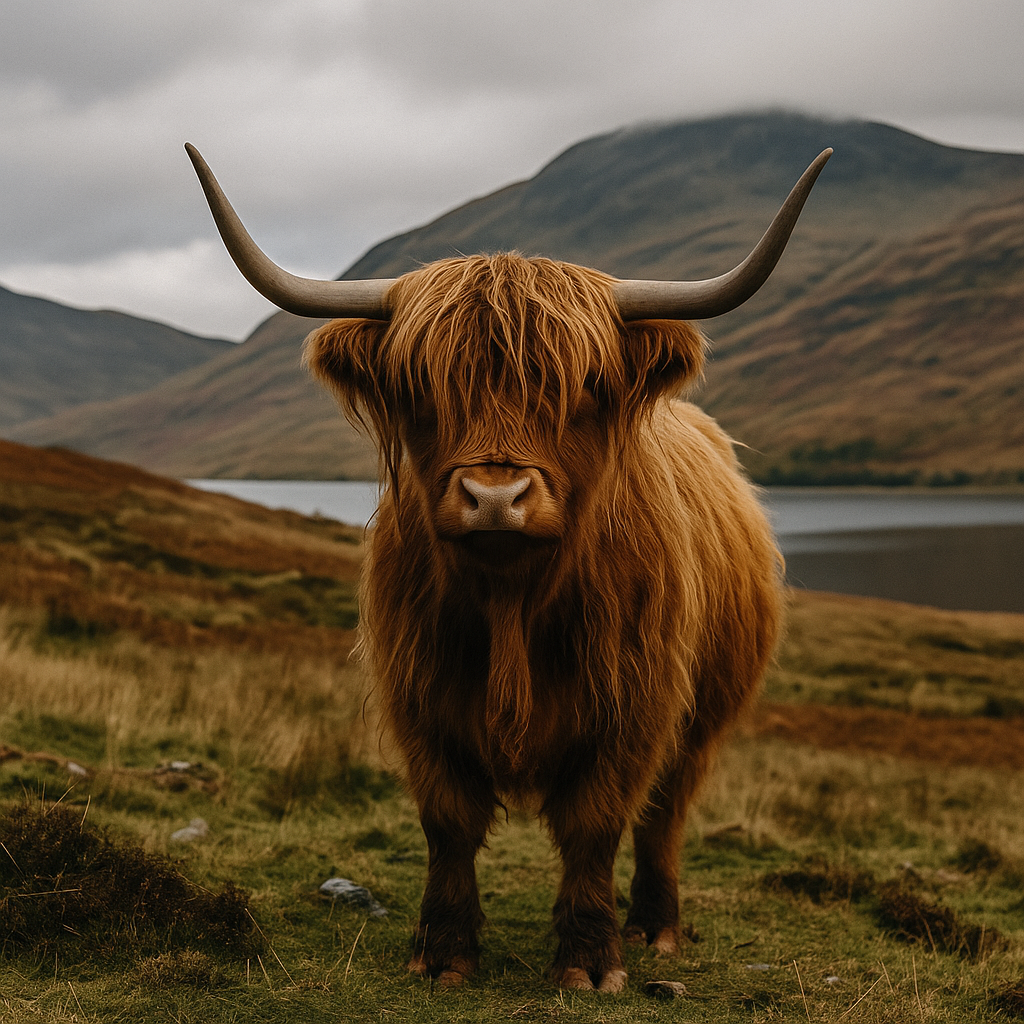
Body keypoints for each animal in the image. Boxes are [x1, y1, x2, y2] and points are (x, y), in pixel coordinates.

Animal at [187, 143, 830, 992]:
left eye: (585, 384)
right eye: (421, 385)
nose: (496, 497)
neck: (511, 605)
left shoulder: (633, 706)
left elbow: (596, 823)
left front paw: (589, 962)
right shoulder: (420, 697)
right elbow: (449, 823)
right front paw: (444, 953)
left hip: (704, 717)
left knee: (665, 814)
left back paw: (655, 926)